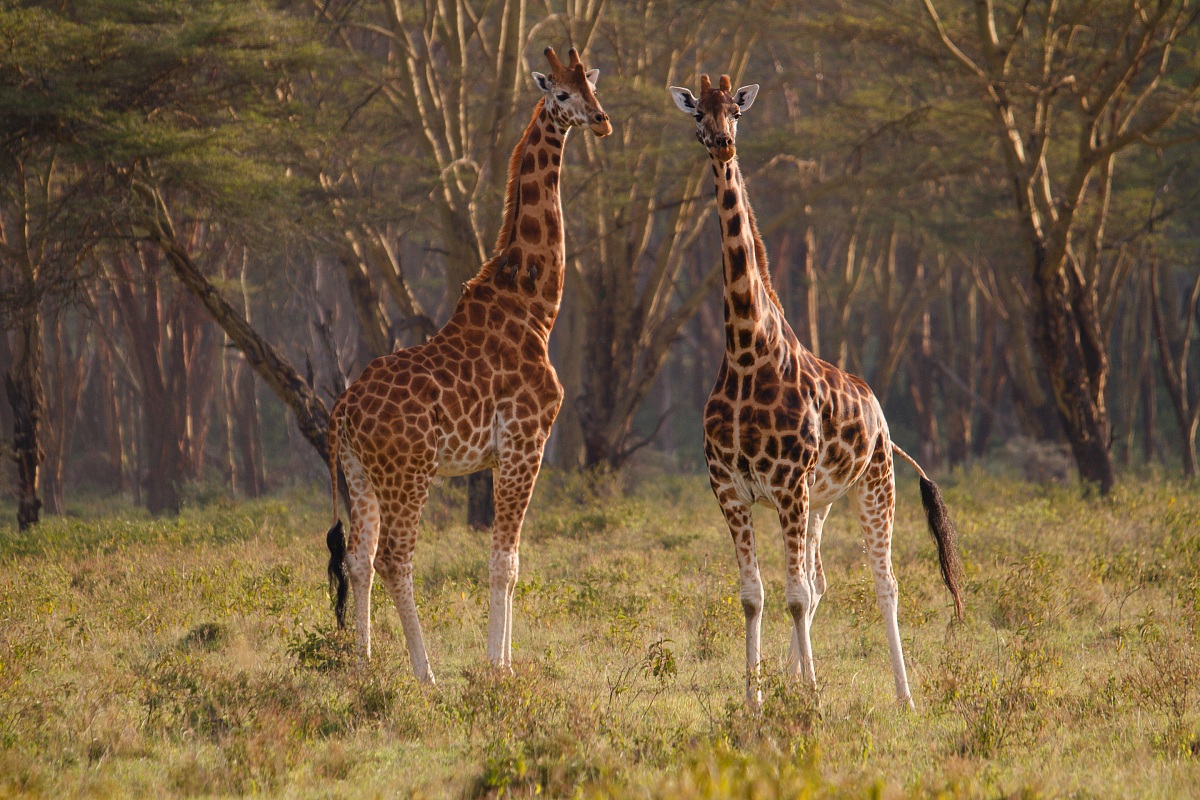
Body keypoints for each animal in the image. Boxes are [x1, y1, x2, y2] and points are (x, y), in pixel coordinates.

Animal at [324, 47, 611, 683]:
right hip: (409, 472)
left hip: (360, 475)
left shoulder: (507, 452)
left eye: (592, 85)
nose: (602, 120)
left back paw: (362, 665)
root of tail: (343, 414)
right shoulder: (526, 442)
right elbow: (504, 561)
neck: (536, 308)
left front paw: (502, 660)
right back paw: (425, 673)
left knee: (358, 558)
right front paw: (498, 668)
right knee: (395, 558)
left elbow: (511, 560)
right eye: (560, 94)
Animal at [669, 75, 964, 708]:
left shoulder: (787, 484)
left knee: (883, 582)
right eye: (698, 114)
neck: (747, 353)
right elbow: (757, 595)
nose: (723, 143)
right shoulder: (731, 488)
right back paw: (796, 679)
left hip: (873, 485)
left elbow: (795, 595)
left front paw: (813, 699)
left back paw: (904, 696)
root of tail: (881, 416)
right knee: (819, 580)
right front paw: (758, 699)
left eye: (735, 111)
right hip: (821, 502)